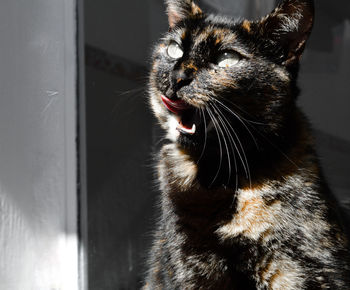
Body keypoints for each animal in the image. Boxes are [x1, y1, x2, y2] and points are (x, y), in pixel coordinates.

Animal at [142, 0, 350, 288]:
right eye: (174, 49)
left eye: (226, 57)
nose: (178, 76)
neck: (218, 173)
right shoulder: (187, 265)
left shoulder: (309, 266)